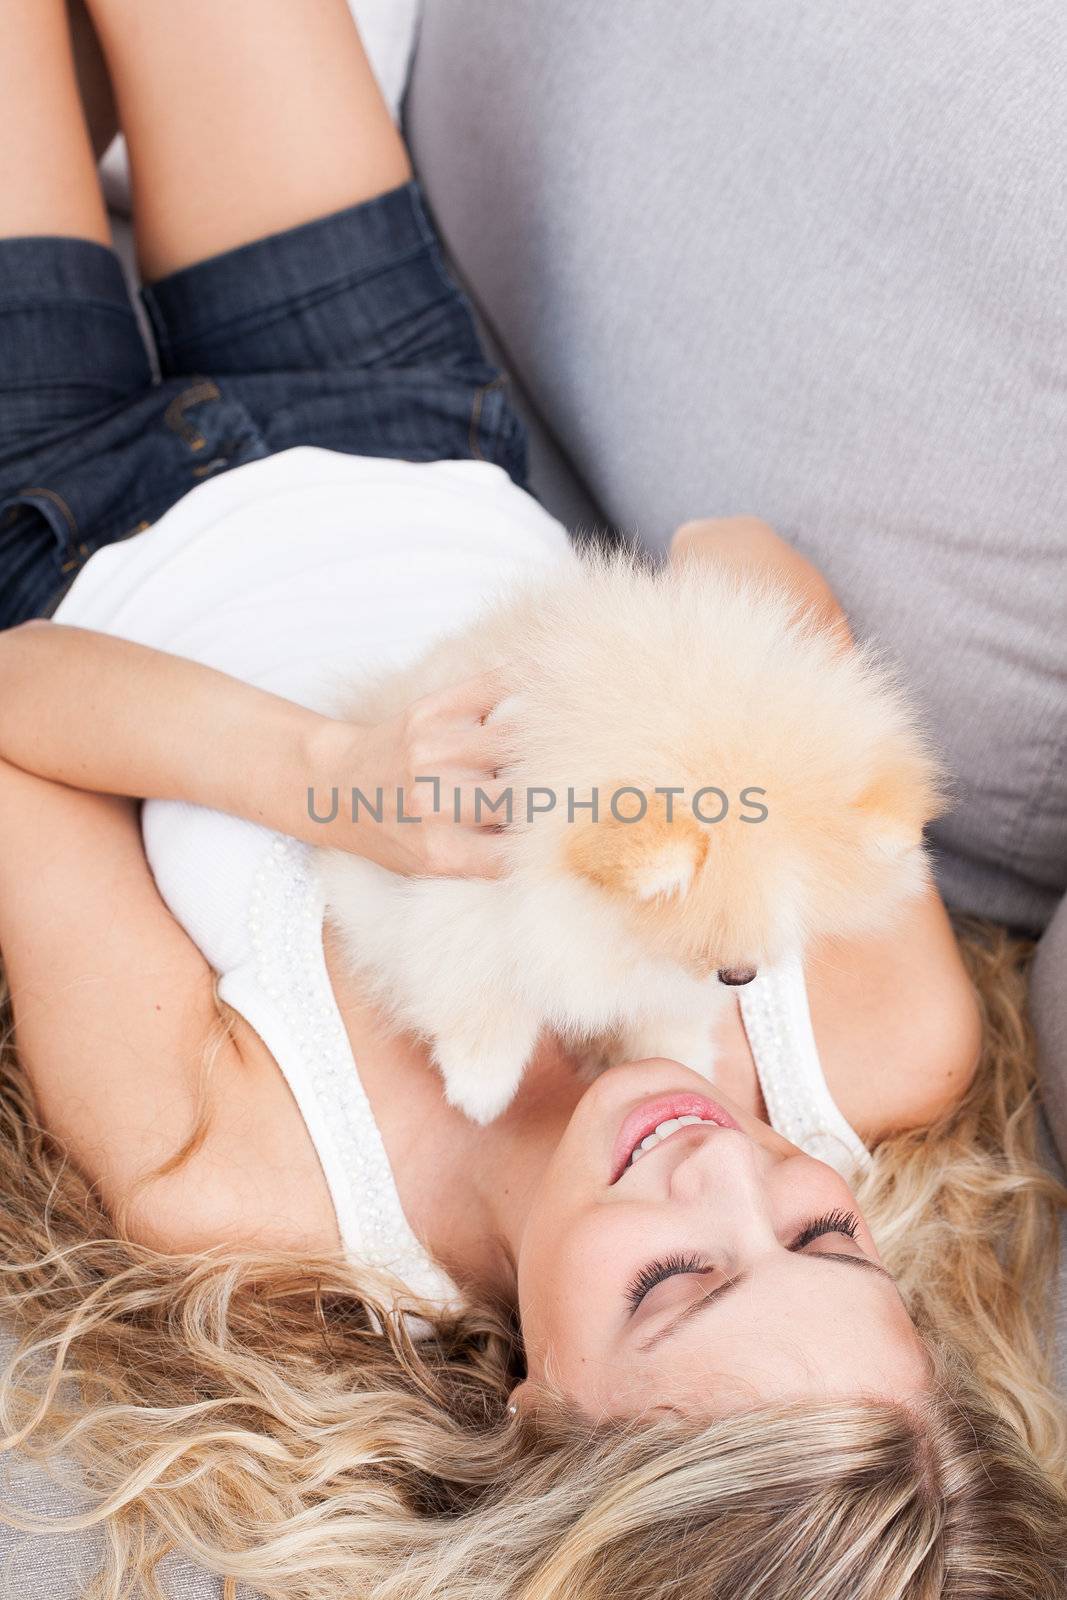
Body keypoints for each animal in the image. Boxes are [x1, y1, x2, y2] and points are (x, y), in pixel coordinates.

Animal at [316, 544, 940, 1120]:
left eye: (793, 906)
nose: (740, 976)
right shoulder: (465, 894)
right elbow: (478, 988)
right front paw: (481, 1087)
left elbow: (664, 1019)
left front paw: (681, 1065)